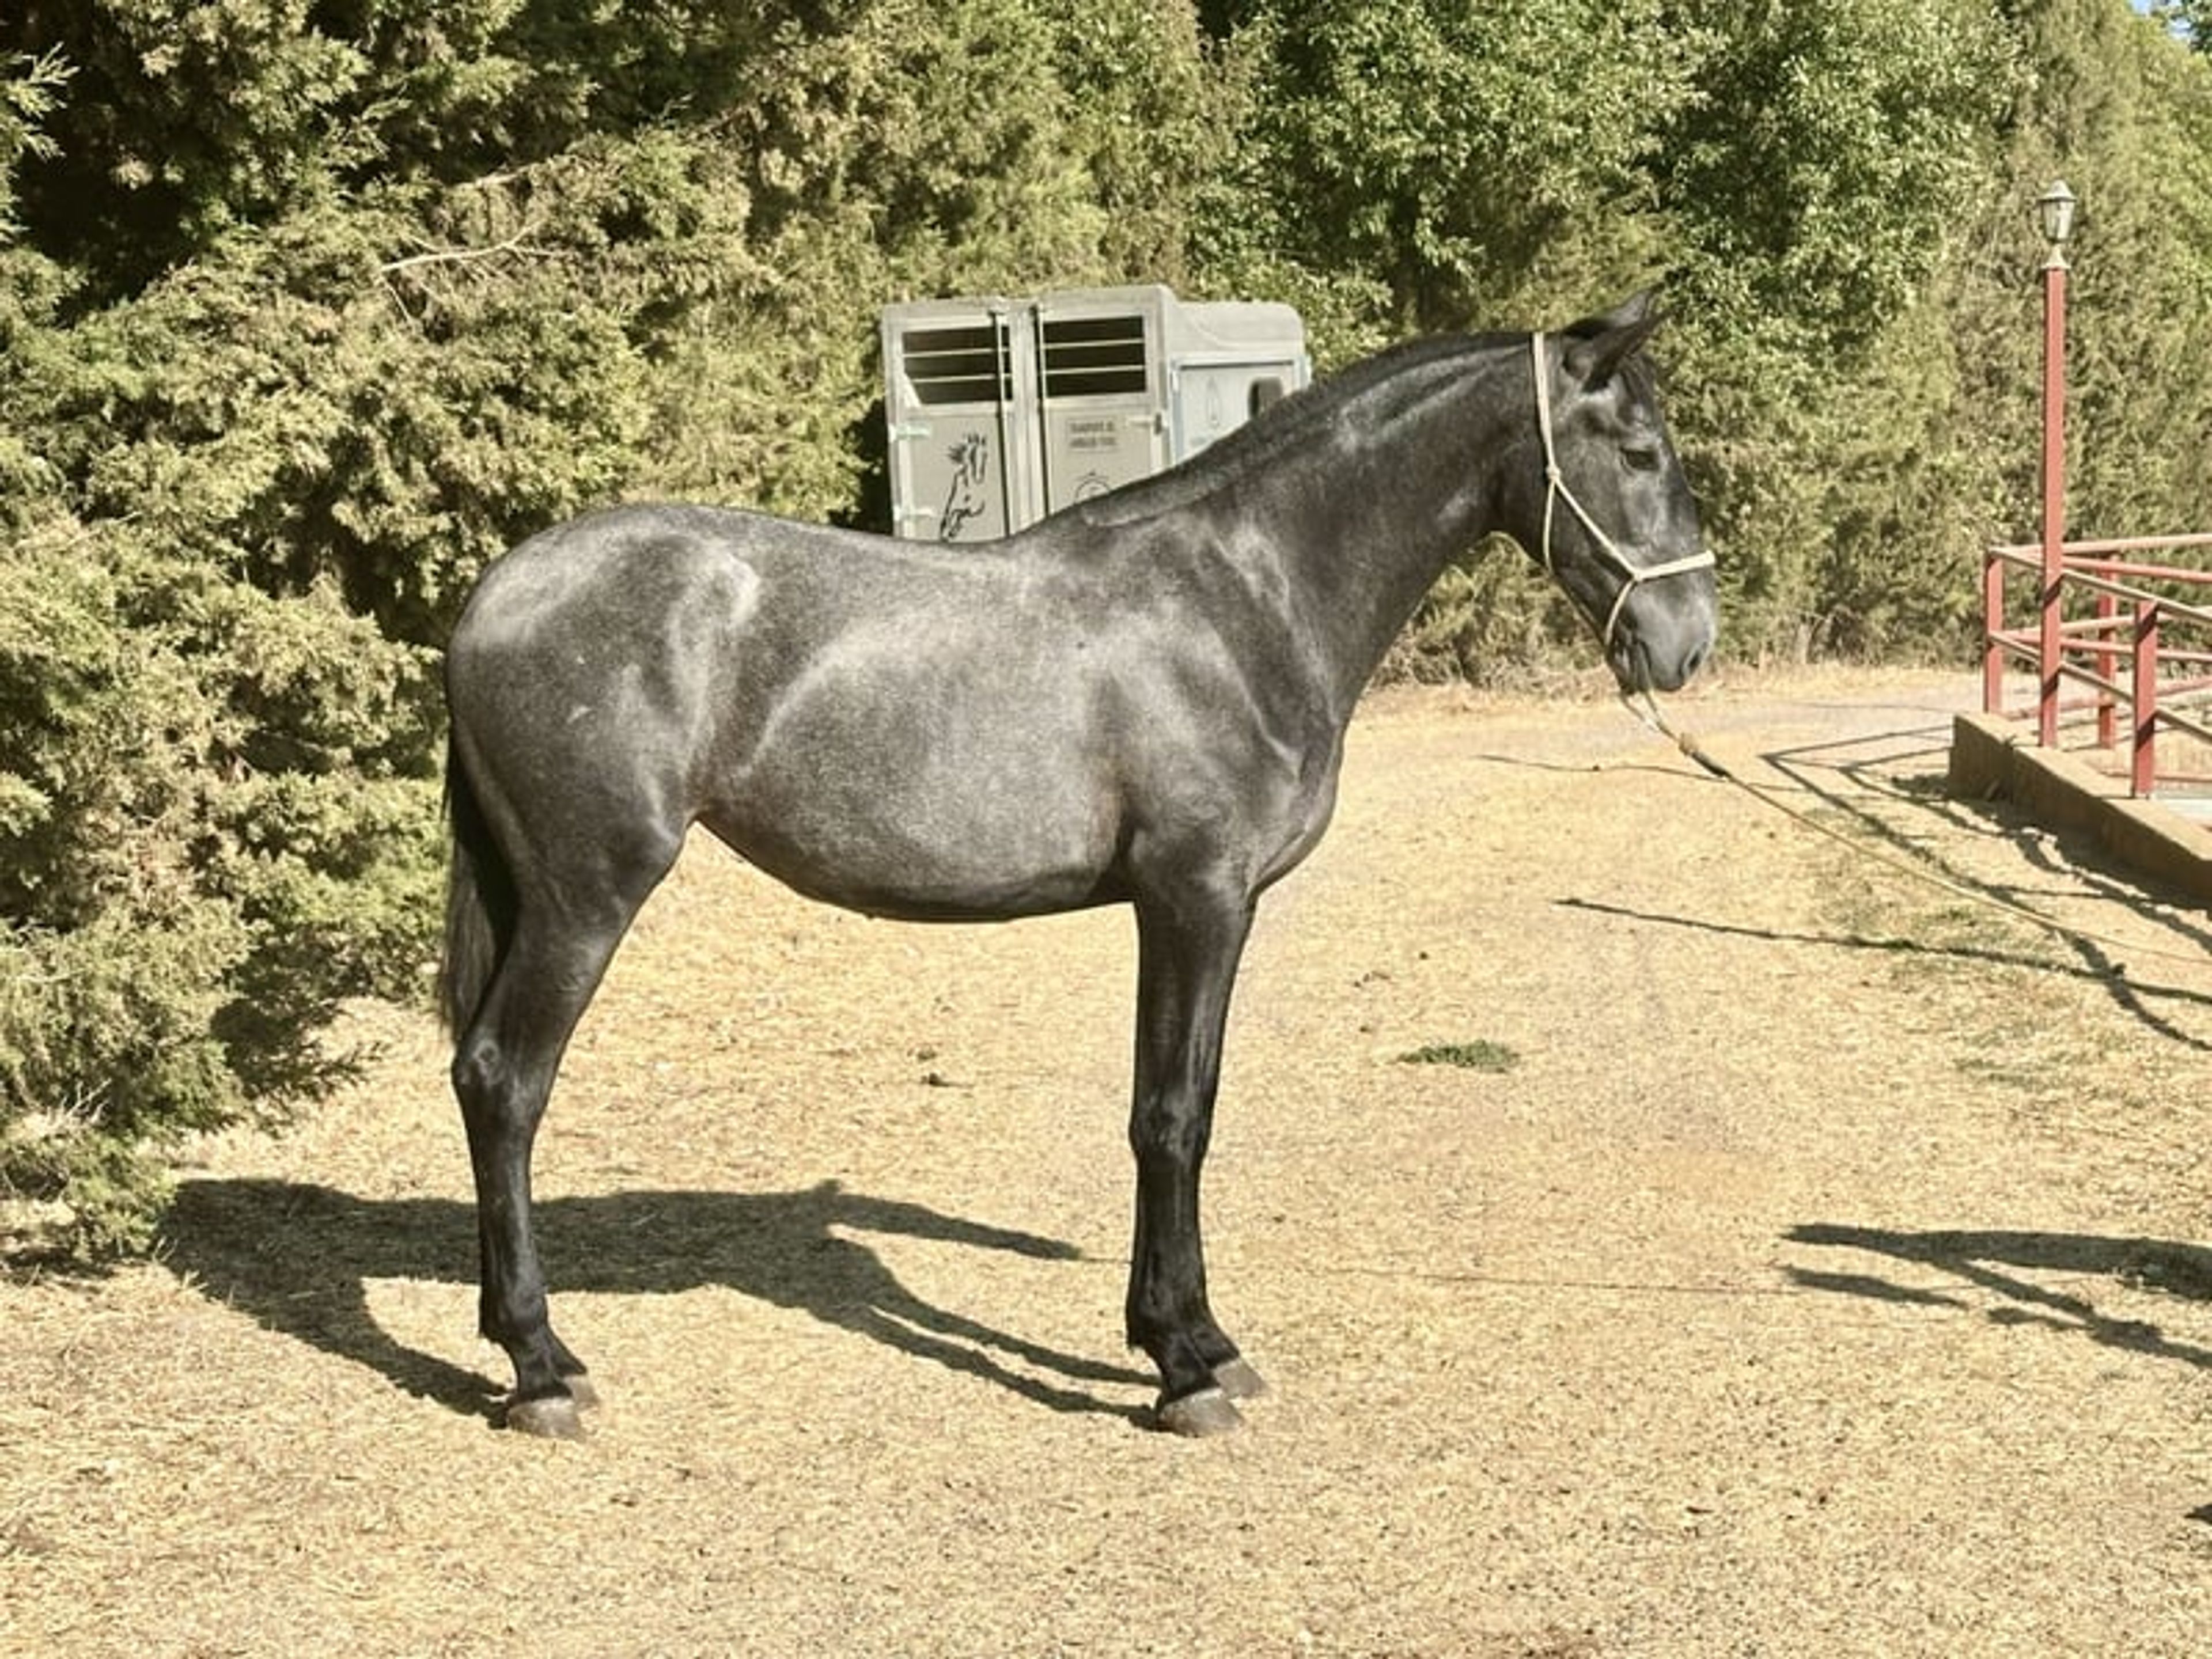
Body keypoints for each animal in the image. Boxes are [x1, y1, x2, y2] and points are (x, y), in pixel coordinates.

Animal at [438, 291, 1718, 1439]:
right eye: (1640, 453)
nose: (1689, 642)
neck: (1242, 601)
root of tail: (492, 592)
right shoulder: (1196, 900)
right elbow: (1172, 1118)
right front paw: (1184, 1367)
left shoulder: (1197, 909)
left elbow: (1188, 1101)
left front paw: (1194, 1340)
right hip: (586, 896)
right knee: (505, 1081)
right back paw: (542, 1368)